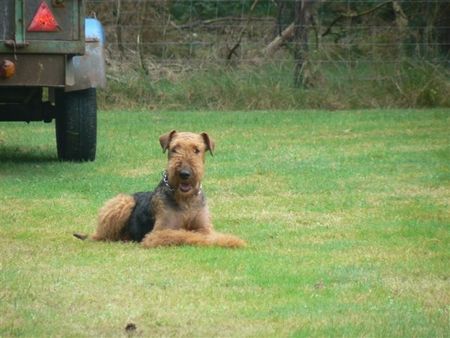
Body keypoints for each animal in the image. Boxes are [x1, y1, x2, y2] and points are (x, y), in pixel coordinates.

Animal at [75, 131, 248, 250]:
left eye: (196, 150)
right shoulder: (158, 233)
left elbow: (211, 236)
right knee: (102, 236)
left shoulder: (205, 227)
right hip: (123, 202)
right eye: (174, 149)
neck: (186, 200)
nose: (184, 174)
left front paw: (233, 241)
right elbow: (186, 235)